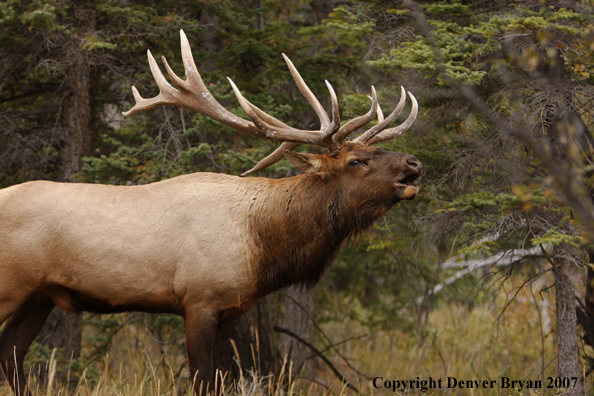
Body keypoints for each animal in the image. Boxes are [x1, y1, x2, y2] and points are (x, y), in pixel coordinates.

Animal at [0, 30, 418, 392]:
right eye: (356, 161)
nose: (413, 162)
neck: (263, 244)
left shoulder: (228, 310)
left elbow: (219, 378)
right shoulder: (198, 300)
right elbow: (202, 379)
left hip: (40, 295)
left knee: (11, 352)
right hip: (11, 285)